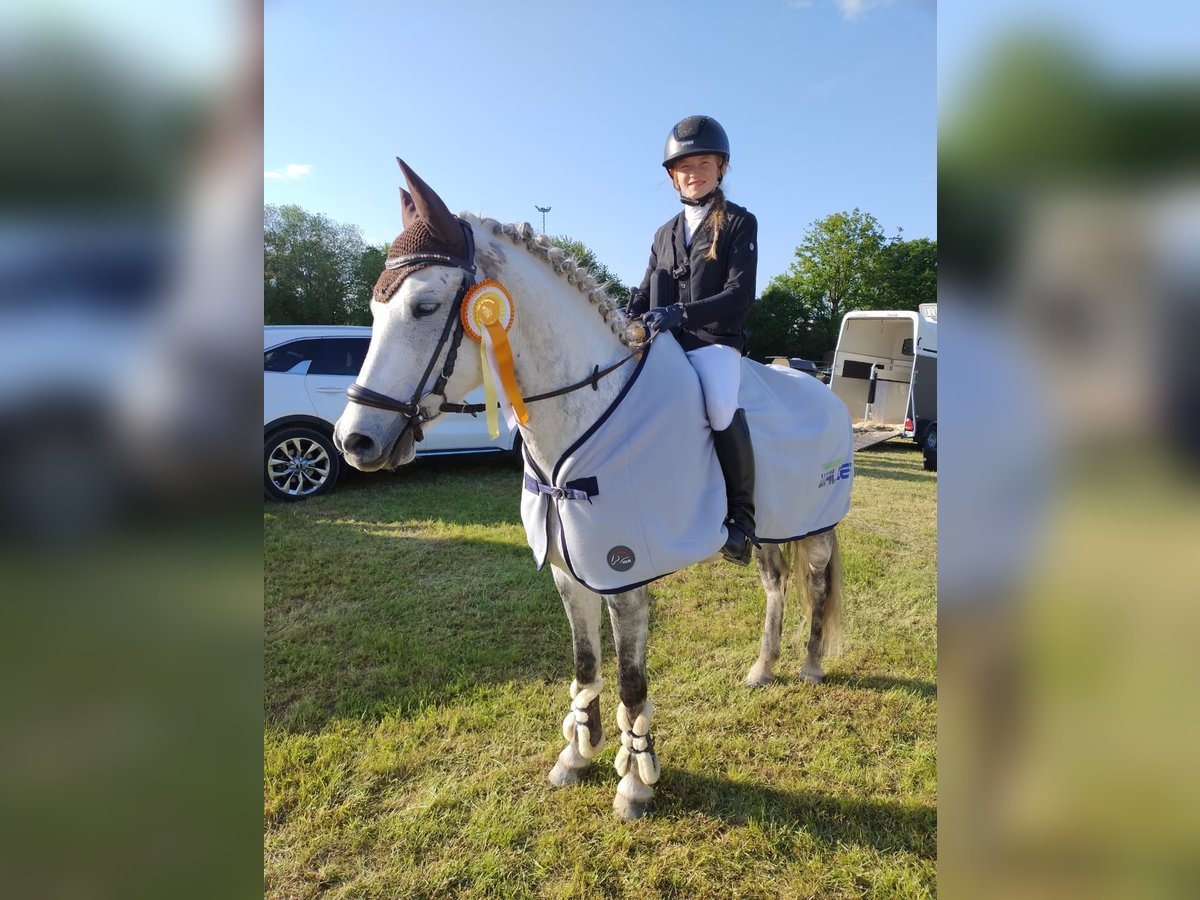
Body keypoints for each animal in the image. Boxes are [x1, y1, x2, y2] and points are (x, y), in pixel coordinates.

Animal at [333, 158, 849, 820]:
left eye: (424, 307)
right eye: (375, 313)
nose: (354, 441)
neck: (580, 419)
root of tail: (822, 389)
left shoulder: (624, 577)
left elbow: (631, 680)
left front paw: (636, 779)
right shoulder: (567, 570)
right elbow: (584, 665)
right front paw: (578, 755)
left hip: (817, 524)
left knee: (814, 582)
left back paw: (809, 665)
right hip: (767, 529)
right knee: (775, 583)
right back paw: (763, 667)